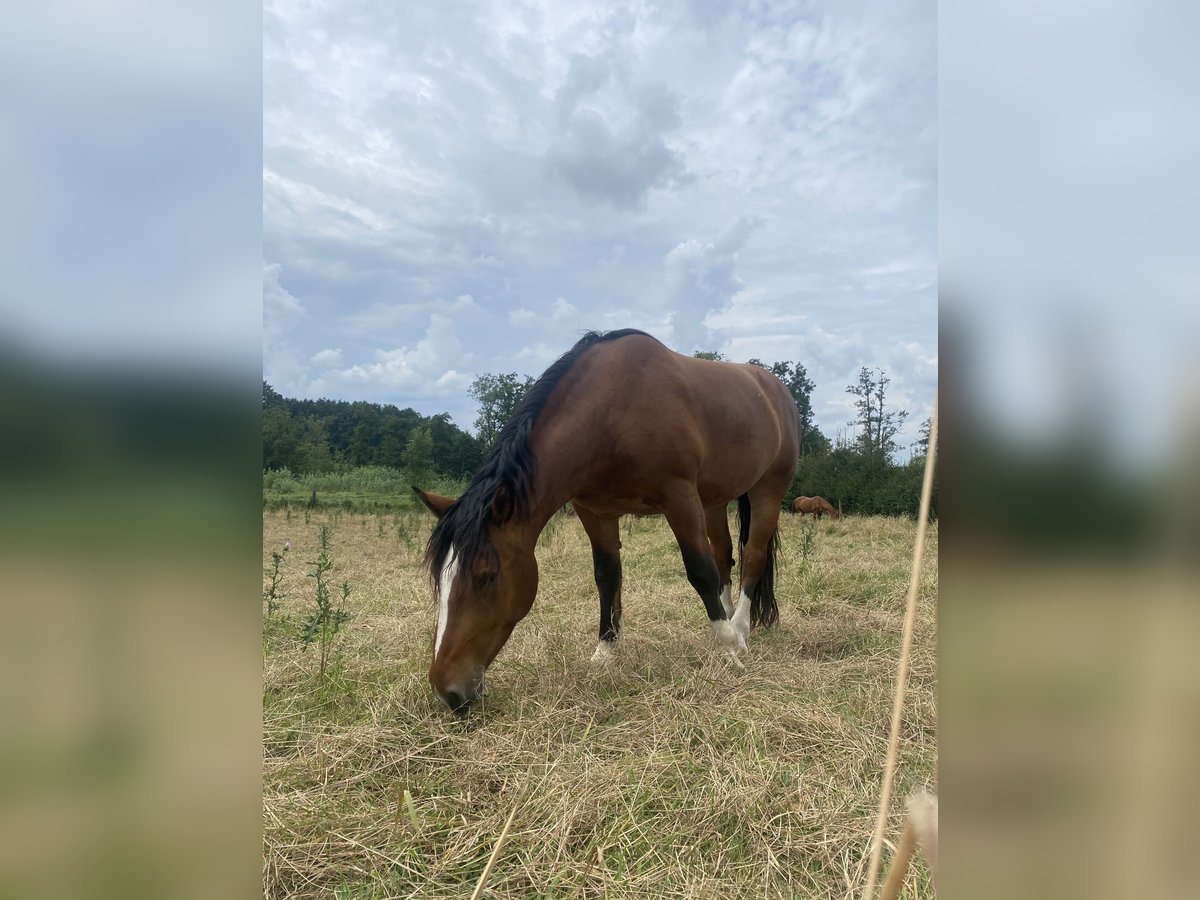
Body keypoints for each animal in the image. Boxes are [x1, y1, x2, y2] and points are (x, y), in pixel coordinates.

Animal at [410, 328, 796, 715]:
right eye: (439, 580)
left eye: (486, 576)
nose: (447, 691)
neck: (611, 414)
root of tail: (774, 388)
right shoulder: (595, 512)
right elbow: (607, 577)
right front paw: (605, 653)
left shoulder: (680, 498)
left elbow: (699, 571)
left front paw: (730, 649)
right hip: (714, 500)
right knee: (724, 556)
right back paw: (727, 618)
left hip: (767, 488)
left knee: (753, 555)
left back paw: (739, 629)